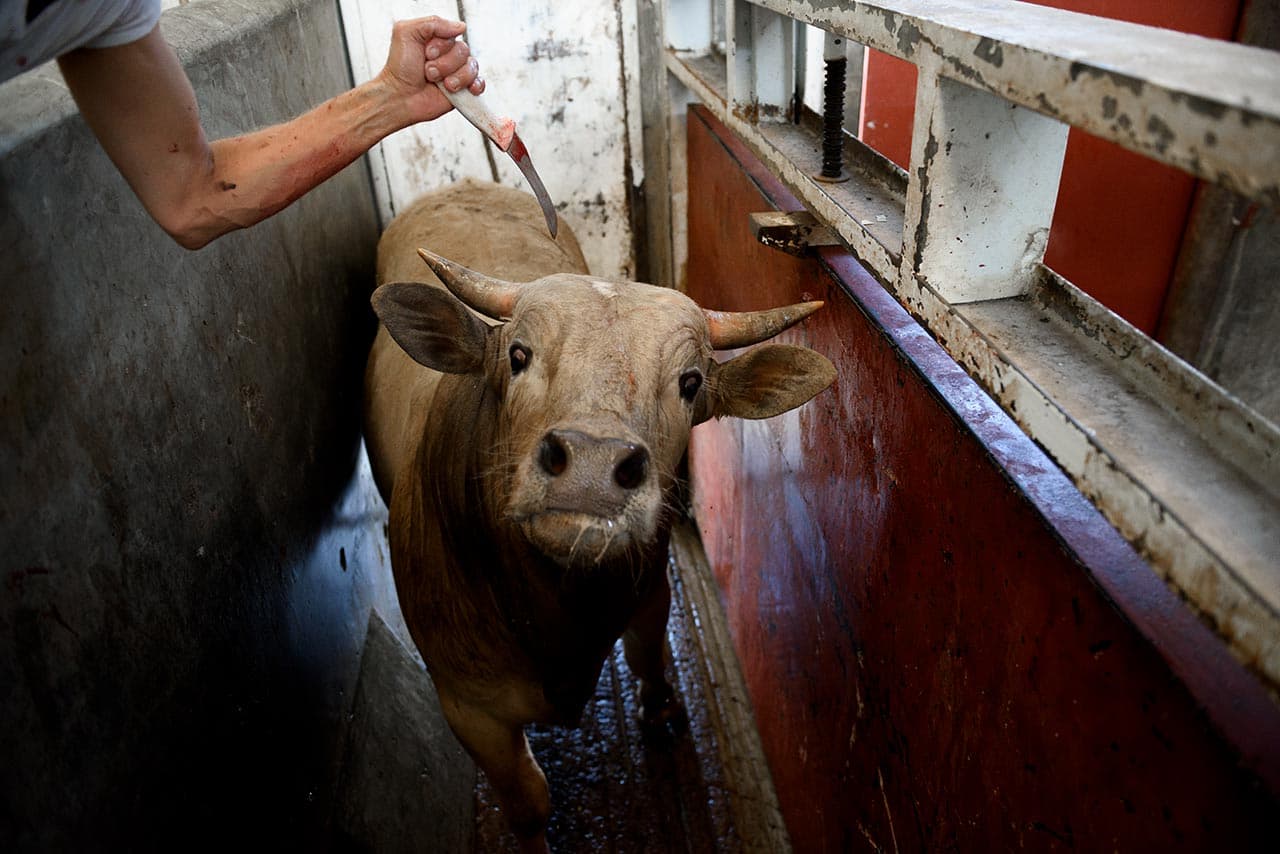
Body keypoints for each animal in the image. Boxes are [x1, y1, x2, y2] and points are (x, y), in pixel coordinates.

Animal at [364, 178, 836, 852]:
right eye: (517, 355)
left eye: (691, 382)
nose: (591, 465)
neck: (560, 612)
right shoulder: (467, 703)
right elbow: (528, 802)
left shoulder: (649, 588)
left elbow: (645, 655)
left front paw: (661, 711)